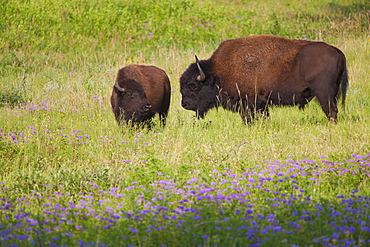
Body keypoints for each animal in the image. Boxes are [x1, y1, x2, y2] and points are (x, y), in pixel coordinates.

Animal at [181, 34, 348, 123]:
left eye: (193, 85)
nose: (184, 104)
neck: (218, 72)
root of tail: (338, 52)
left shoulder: (250, 102)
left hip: (324, 93)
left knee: (331, 110)